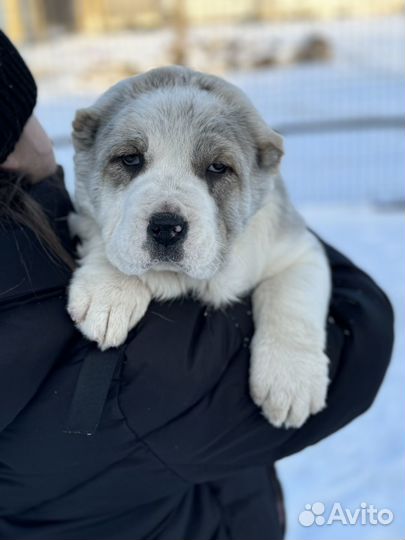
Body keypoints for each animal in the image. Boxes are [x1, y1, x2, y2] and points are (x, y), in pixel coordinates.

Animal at [68, 67, 330, 428]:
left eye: (218, 168)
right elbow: (103, 235)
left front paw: (291, 380)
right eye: (131, 159)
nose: (166, 227)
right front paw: (110, 290)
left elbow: (292, 299)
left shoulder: (299, 250)